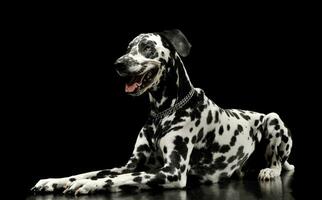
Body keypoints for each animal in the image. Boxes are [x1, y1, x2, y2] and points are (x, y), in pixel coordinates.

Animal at [30, 28, 294, 195]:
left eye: (147, 47)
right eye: (128, 47)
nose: (118, 64)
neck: (162, 113)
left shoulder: (171, 172)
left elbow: (114, 178)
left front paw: (88, 186)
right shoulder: (131, 165)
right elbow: (90, 172)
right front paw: (54, 181)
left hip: (273, 120)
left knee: (279, 164)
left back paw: (269, 170)